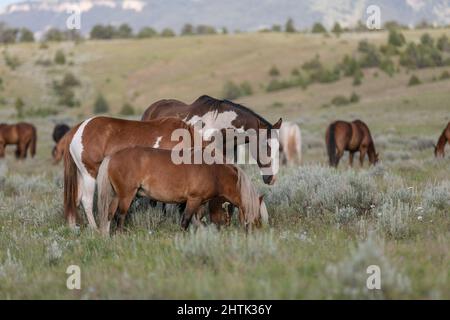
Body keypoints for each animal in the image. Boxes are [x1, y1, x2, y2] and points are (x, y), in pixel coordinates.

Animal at [63, 116, 197, 229]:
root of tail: (78, 129)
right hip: (89, 174)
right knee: (86, 201)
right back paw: (94, 228)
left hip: (81, 175)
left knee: (76, 199)